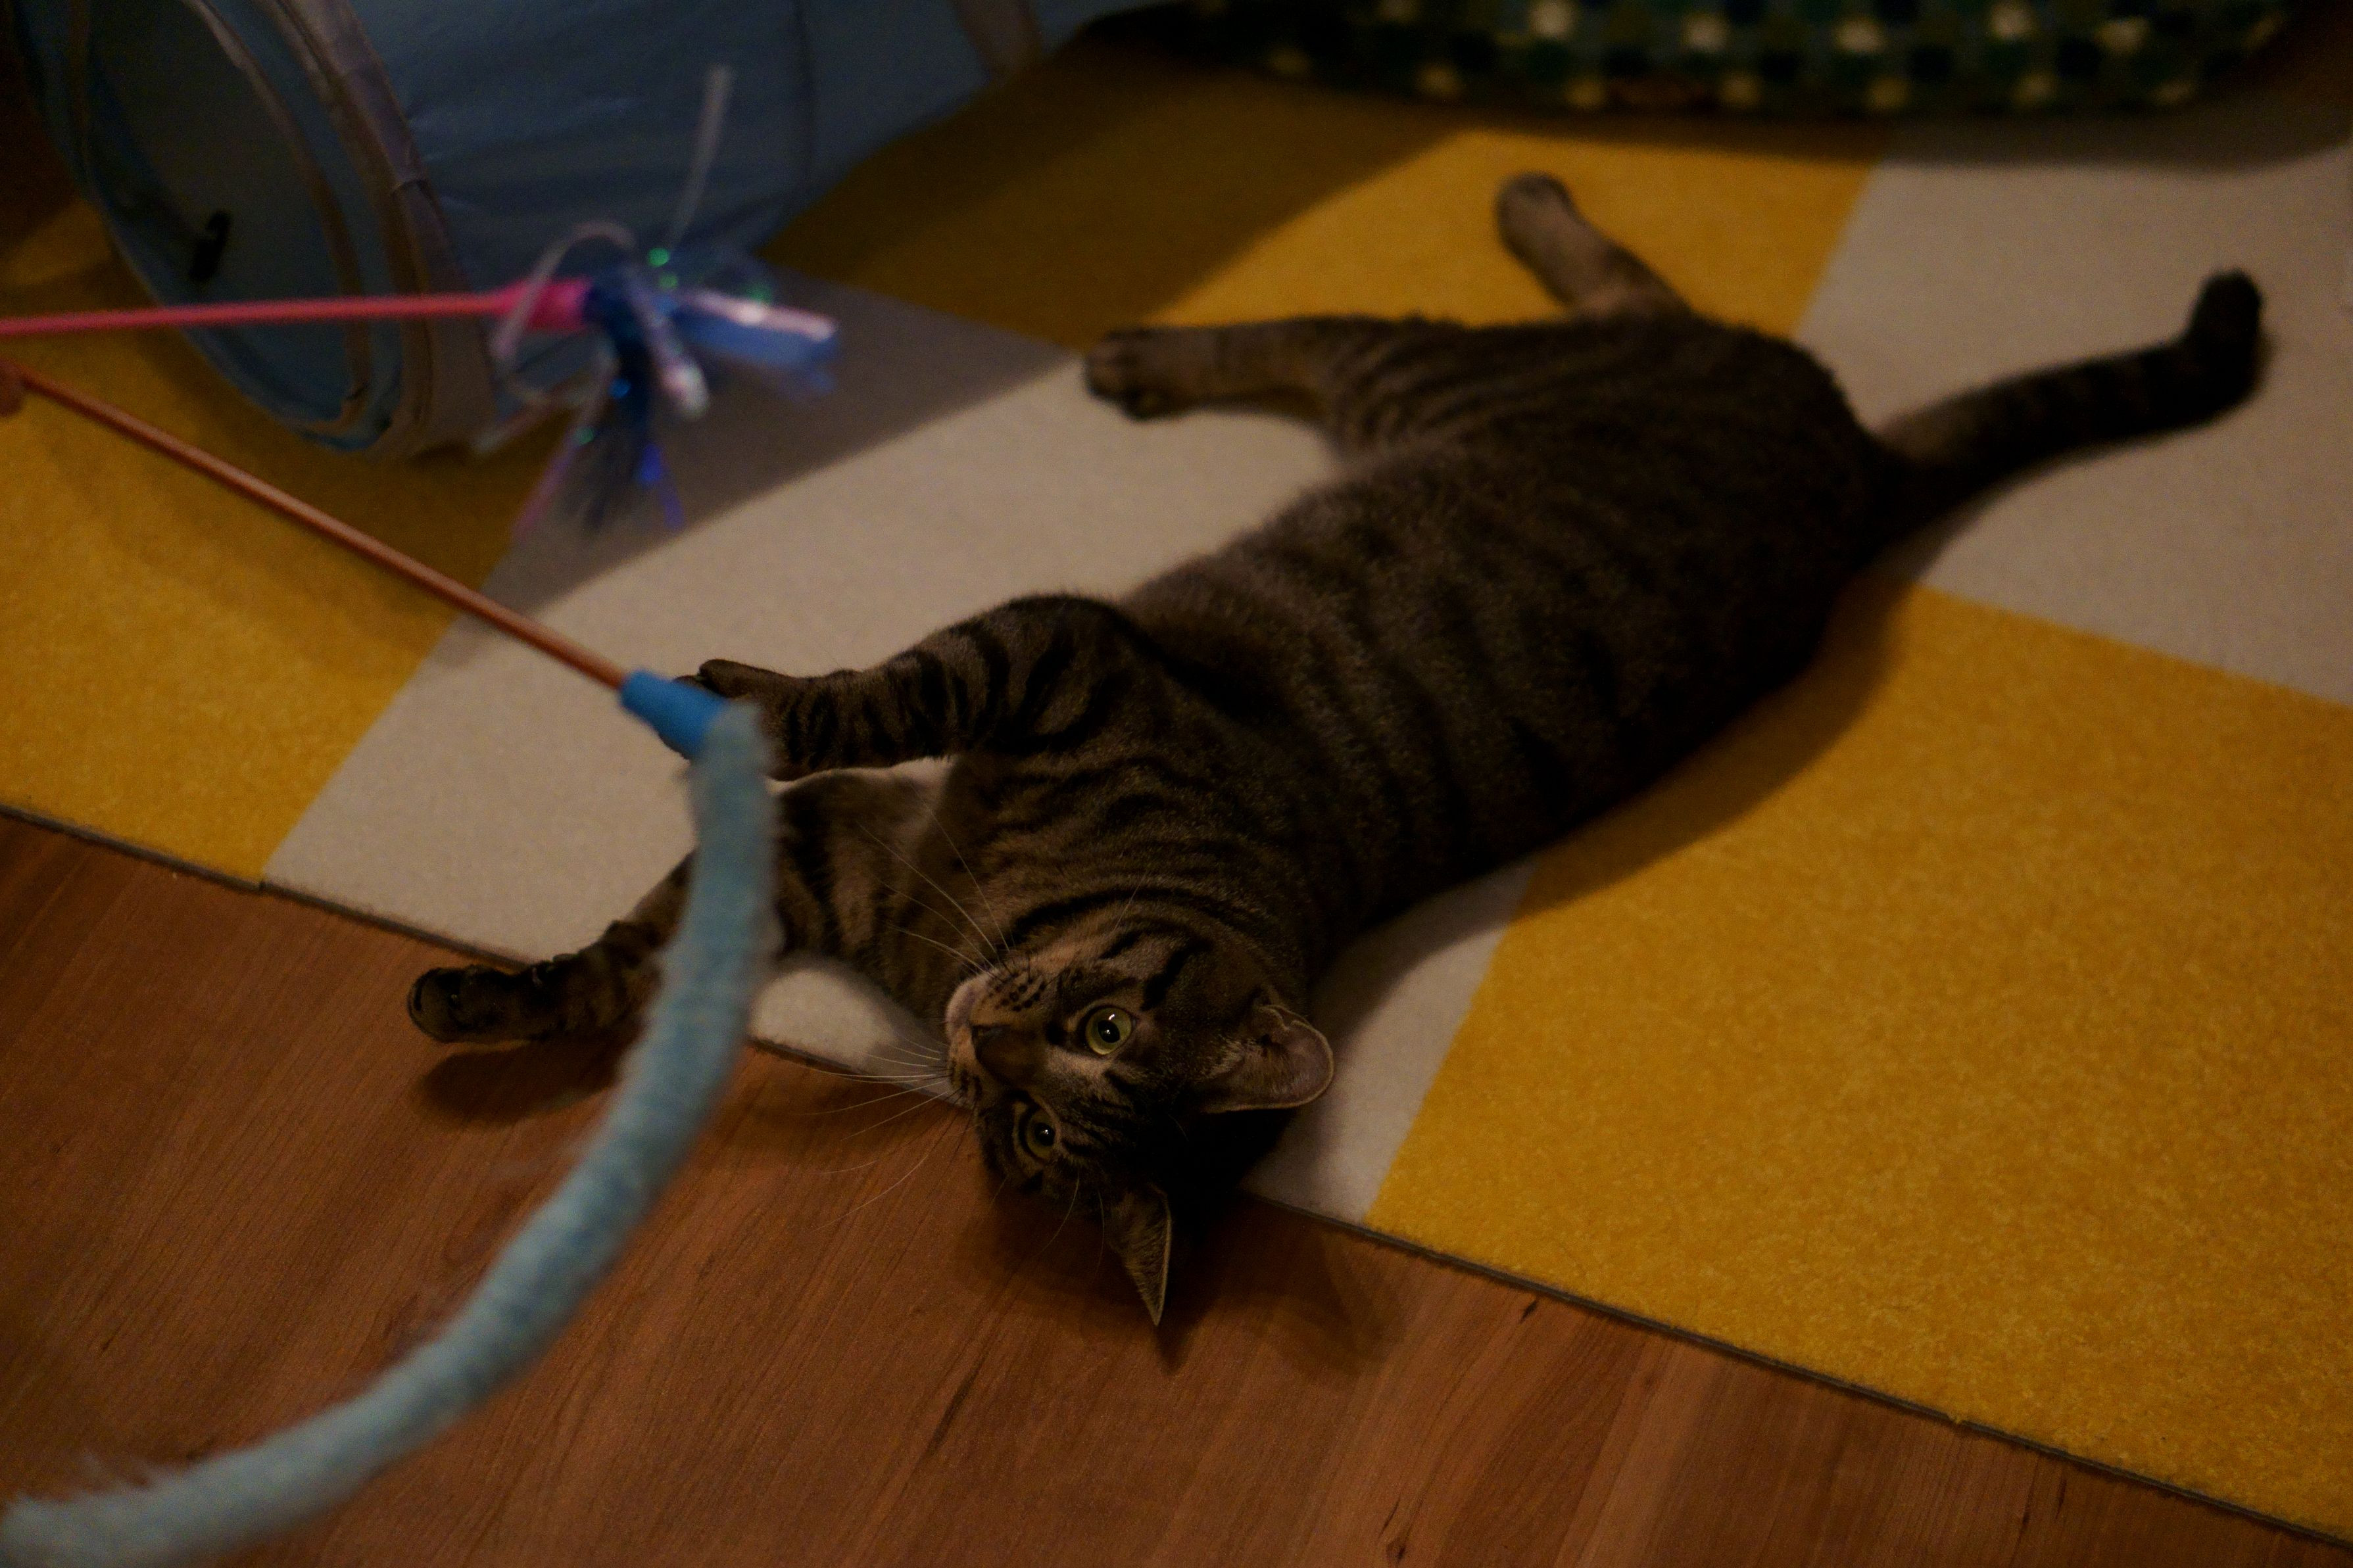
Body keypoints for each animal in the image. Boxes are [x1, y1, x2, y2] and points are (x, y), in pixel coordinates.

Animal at [409, 174, 2262, 1323]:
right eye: (1093, 1029)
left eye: (1043, 1135)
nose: (984, 1047)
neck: (998, 906)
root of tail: (1863, 477)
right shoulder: (1055, 663)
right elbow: (812, 760)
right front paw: (512, 976)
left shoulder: (869, 835)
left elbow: (684, 918)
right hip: (1434, 381)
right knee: (1488, 302)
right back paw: (1415, 244)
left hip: (1443, 387)